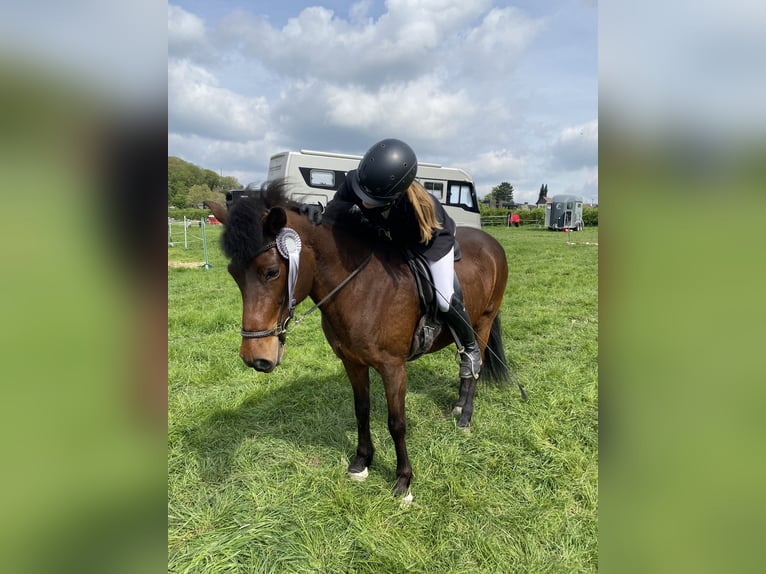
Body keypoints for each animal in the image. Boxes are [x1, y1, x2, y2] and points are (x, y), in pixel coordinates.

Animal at [207, 182, 512, 498]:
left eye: (272, 272)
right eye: (233, 273)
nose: (255, 357)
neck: (360, 288)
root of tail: (491, 242)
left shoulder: (393, 368)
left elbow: (396, 422)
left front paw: (403, 481)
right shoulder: (352, 362)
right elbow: (361, 411)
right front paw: (361, 462)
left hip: (483, 323)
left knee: (475, 362)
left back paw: (465, 417)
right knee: (466, 363)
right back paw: (459, 406)